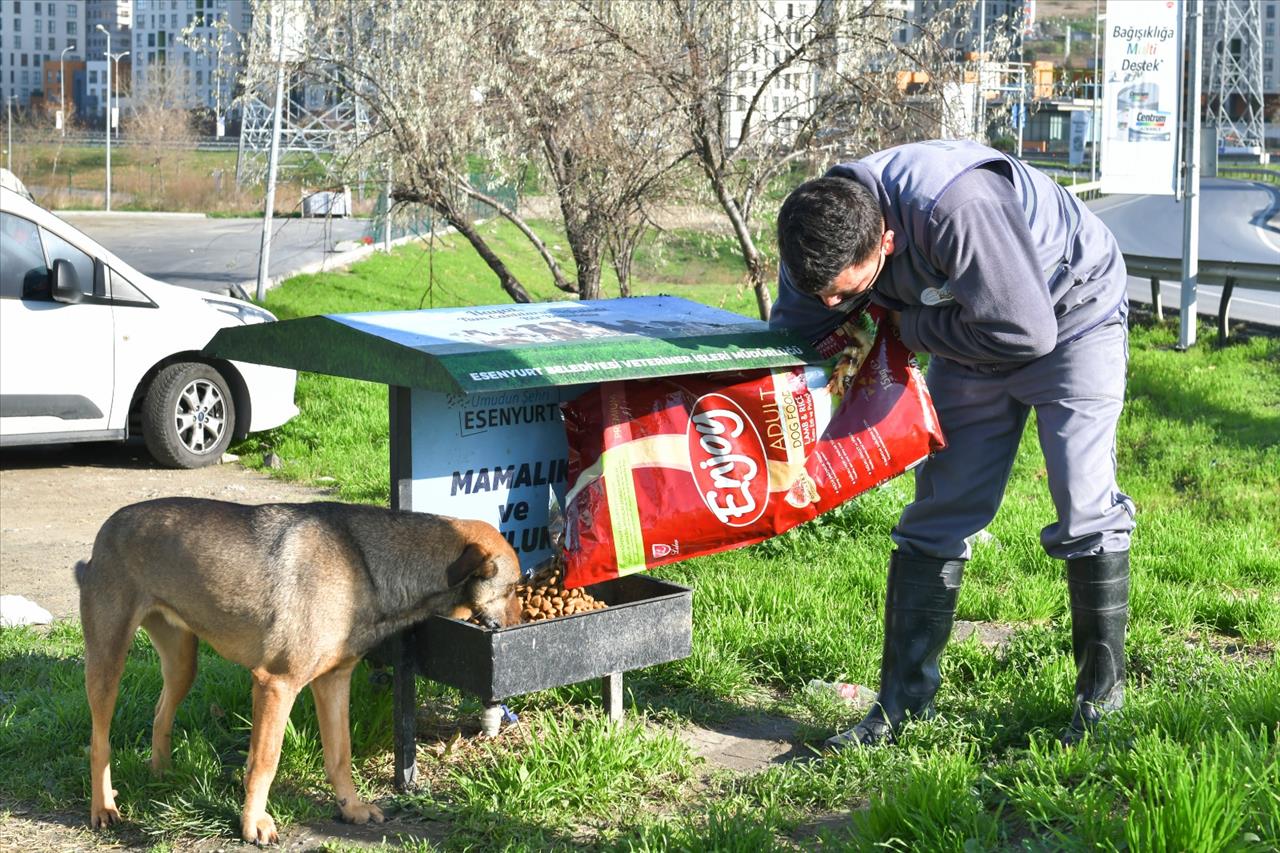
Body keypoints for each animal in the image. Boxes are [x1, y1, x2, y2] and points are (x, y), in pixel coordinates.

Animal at [77, 494, 519, 840]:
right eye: (514, 588)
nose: (519, 624)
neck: (365, 564)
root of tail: (108, 528)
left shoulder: (334, 681)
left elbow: (340, 754)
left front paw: (351, 808)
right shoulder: (277, 685)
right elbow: (264, 763)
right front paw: (252, 824)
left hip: (183, 661)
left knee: (159, 713)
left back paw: (163, 772)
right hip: (107, 661)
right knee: (99, 741)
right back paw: (103, 808)